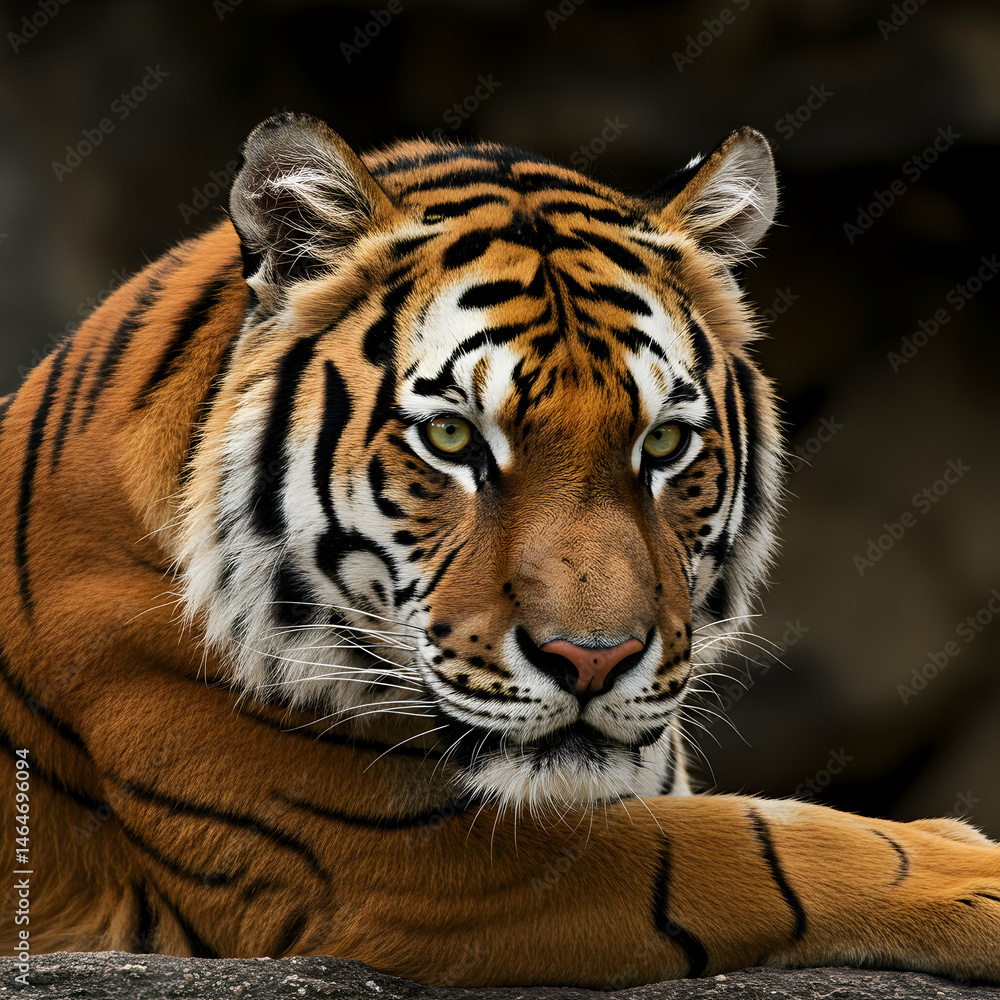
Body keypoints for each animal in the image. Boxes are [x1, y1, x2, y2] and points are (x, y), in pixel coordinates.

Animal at [1, 111, 998, 989]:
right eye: (451, 438)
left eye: (665, 444)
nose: (592, 661)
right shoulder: (387, 863)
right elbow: (738, 847)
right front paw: (971, 871)